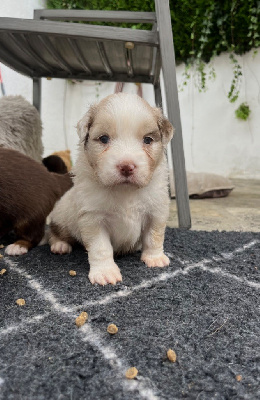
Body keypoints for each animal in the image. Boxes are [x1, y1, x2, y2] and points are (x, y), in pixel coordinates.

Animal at [49, 92, 174, 286]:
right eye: (104, 139)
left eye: (147, 140)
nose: (127, 167)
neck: (125, 191)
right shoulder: (93, 218)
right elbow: (101, 248)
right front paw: (105, 272)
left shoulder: (156, 210)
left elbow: (154, 236)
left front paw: (155, 258)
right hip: (62, 214)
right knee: (55, 231)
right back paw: (60, 245)